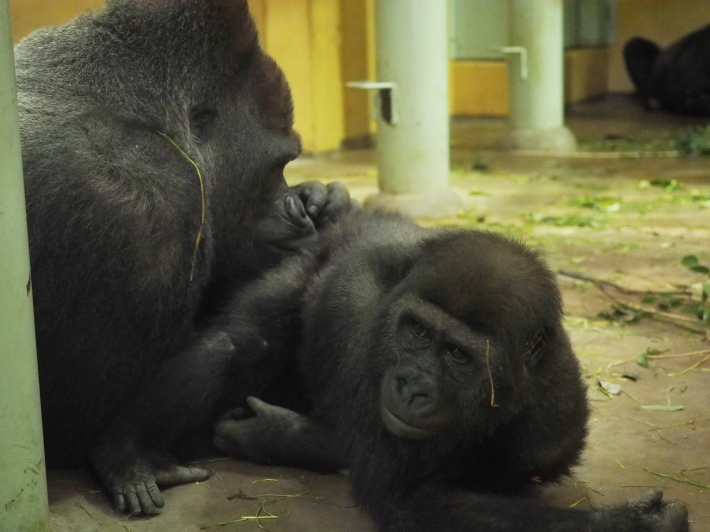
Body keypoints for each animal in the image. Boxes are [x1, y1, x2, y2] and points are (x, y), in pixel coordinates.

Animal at [207, 212, 696, 532]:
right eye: (418, 333)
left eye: (458, 356)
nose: (412, 387)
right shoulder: (355, 308)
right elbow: (402, 495)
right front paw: (624, 526)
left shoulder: (557, 420)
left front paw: (280, 434)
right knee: (243, 340)